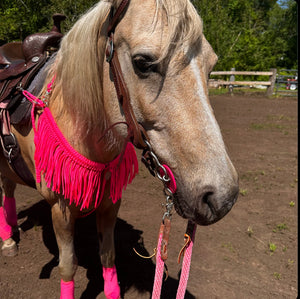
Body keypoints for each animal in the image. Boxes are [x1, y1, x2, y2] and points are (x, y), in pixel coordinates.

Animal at [0, 0, 239, 298]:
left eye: (211, 66)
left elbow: (108, 255)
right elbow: (68, 266)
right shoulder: (60, 208)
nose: (222, 198)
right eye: (143, 63)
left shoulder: (110, 202)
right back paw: (8, 240)